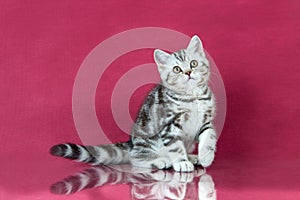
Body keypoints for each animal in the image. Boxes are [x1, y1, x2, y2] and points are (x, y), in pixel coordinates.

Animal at [50, 35, 217, 172]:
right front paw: (182, 162)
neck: (193, 96)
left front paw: (206, 156)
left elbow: (209, 136)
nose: (188, 72)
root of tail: (131, 143)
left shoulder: (206, 120)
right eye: (177, 69)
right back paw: (161, 160)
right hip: (146, 142)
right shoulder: (169, 126)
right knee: (134, 157)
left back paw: (192, 157)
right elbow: (175, 147)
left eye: (193, 63)